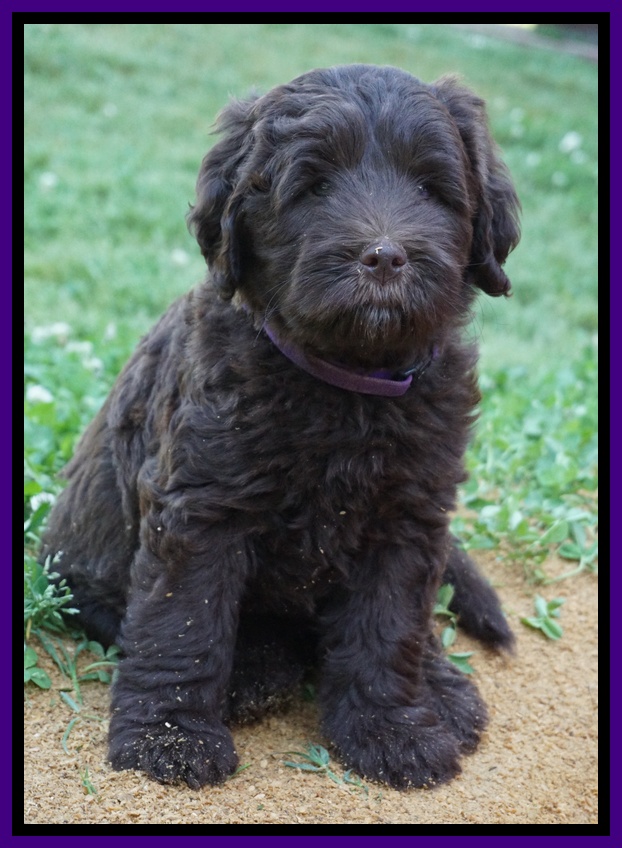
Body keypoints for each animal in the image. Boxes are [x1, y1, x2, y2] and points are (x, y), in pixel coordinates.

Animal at [41, 64, 520, 790]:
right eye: (313, 186)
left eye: (430, 188)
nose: (385, 257)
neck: (346, 383)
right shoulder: (200, 510)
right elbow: (184, 623)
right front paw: (170, 737)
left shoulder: (409, 519)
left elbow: (390, 627)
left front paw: (392, 730)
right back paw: (258, 669)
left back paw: (440, 686)